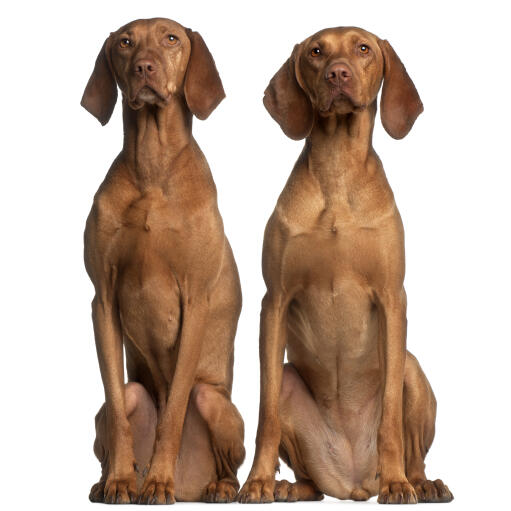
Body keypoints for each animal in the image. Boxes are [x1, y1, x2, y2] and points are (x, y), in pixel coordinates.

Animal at [81, 18, 245, 506]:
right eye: (125, 43)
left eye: (171, 38)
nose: (144, 67)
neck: (151, 168)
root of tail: (191, 483)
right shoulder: (102, 300)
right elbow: (118, 408)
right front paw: (120, 480)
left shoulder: (195, 300)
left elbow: (172, 412)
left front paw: (158, 482)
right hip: (133, 394)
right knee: (122, 401)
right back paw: (108, 481)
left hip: (216, 403)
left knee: (225, 459)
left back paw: (215, 486)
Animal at [238, 27, 454, 504]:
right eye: (316, 52)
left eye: (363, 48)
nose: (338, 74)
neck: (336, 170)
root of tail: (353, 481)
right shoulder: (274, 303)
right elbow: (265, 414)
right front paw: (257, 481)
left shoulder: (392, 301)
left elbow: (390, 415)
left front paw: (397, 484)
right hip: (292, 386)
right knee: (311, 481)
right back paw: (288, 487)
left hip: (412, 368)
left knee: (414, 448)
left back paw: (419, 482)